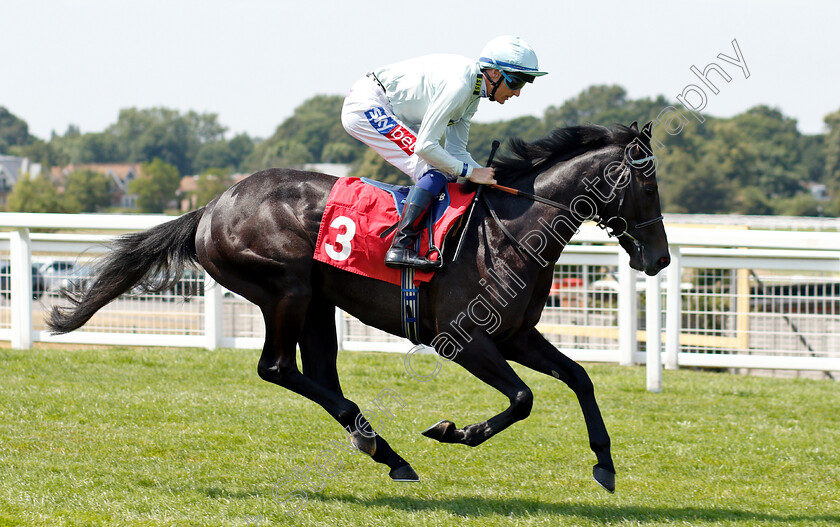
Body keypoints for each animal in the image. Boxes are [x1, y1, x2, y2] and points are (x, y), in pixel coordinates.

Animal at [50, 121, 668, 492]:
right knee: (277, 367)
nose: (660, 257)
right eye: (648, 185)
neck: (511, 229)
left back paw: (378, 446)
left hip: (318, 303)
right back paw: (380, 445)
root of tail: (212, 206)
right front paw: (453, 431)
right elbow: (523, 398)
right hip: (287, 289)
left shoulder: (516, 334)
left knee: (318, 373)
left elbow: (580, 377)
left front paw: (605, 462)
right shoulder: (463, 338)